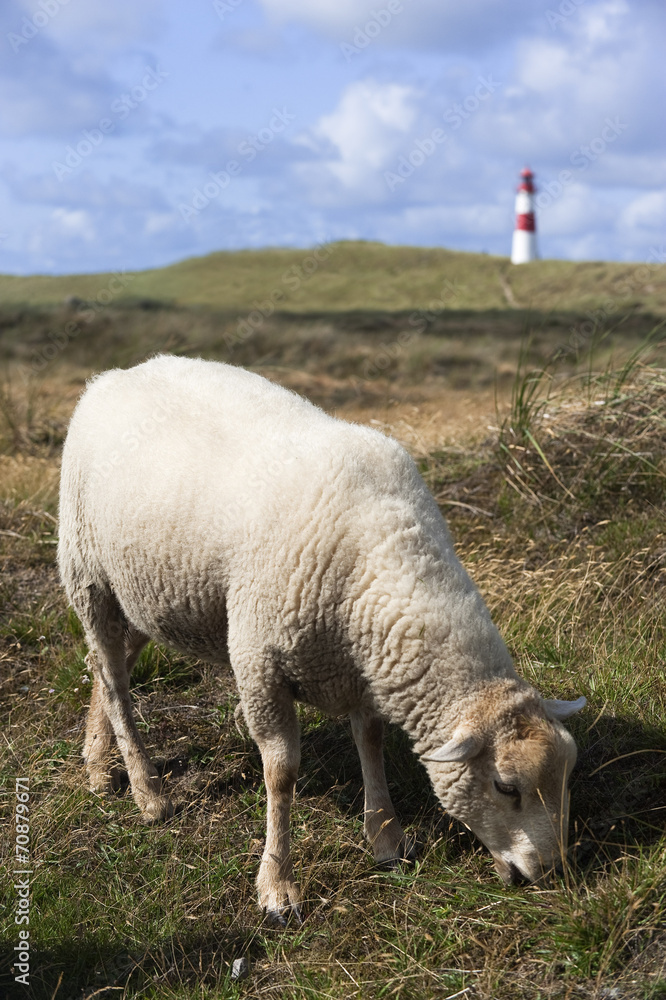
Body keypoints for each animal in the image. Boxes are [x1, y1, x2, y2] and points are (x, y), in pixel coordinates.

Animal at [58, 354, 586, 923]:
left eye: (567, 774)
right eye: (506, 786)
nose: (551, 873)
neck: (383, 551)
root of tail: (118, 374)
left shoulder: (366, 666)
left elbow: (370, 741)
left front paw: (385, 836)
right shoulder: (260, 660)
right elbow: (281, 772)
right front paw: (277, 884)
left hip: (152, 595)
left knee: (105, 664)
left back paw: (97, 765)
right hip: (89, 574)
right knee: (113, 677)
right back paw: (148, 791)